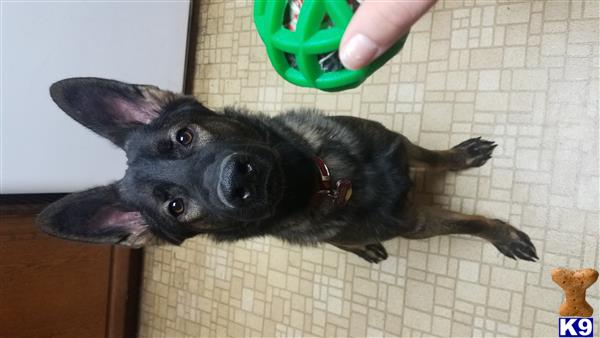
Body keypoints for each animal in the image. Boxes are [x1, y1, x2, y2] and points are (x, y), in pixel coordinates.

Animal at [39, 78, 540, 262]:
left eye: (183, 137)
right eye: (175, 207)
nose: (237, 180)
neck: (327, 180)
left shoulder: (398, 146)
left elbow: (433, 157)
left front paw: (461, 157)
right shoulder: (417, 224)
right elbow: (472, 223)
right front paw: (504, 237)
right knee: (345, 242)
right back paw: (363, 248)